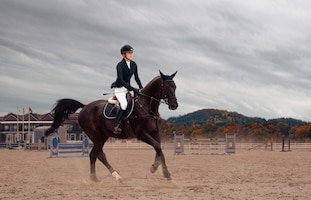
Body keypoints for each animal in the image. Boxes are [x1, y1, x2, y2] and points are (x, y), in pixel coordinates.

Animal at [45, 71, 179, 182]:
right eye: (167, 87)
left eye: (175, 87)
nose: (174, 105)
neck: (147, 106)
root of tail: (85, 106)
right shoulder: (142, 134)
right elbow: (158, 147)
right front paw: (164, 172)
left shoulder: (155, 133)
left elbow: (159, 150)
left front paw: (157, 169)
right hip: (95, 135)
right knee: (100, 155)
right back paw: (117, 176)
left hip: (102, 136)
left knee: (93, 155)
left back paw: (94, 178)